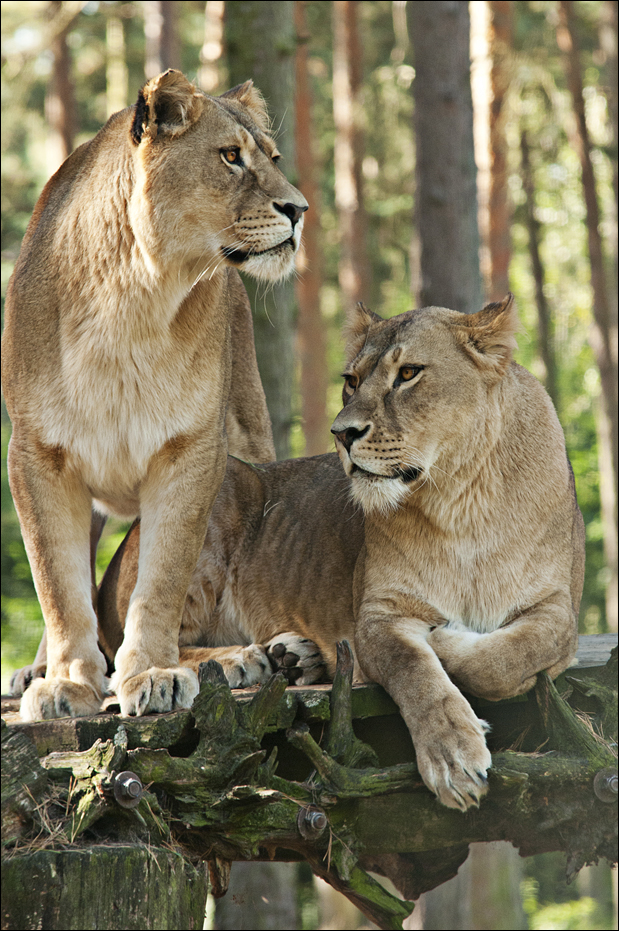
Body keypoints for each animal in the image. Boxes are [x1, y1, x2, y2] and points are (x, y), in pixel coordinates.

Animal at [2, 69, 307, 721]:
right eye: (229, 157)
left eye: (271, 159)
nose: (299, 210)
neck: (133, 295)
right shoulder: (37, 454)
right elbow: (57, 583)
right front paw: (68, 682)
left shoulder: (193, 451)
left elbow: (161, 577)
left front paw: (151, 673)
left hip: (250, 442)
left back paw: (247, 656)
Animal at [89, 294, 585, 811]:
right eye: (352, 381)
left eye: (409, 373)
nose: (342, 434)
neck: (461, 498)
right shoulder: (378, 615)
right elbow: (417, 671)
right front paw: (452, 756)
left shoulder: (558, 609)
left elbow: (505, 658)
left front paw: (448, 641)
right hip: (213, 484)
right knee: (148, 646)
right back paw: (230, 663)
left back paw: (293, 657)